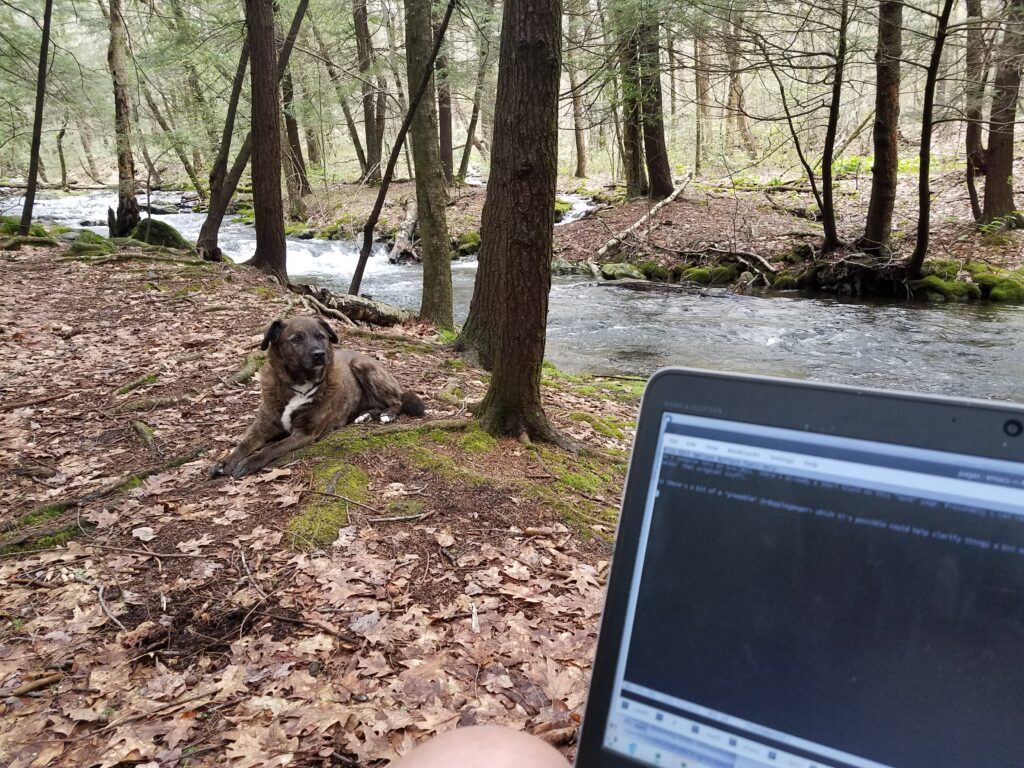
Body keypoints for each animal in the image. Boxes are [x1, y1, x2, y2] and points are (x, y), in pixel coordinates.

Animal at [211, 315, 423, 479]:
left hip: (363, 366)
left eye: (321, 336)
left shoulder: (305, 433)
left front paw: (250, 462)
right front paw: (224, 462)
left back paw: (388, 414)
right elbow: (243, 444)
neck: (299, 385)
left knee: (397, 402)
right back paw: (366, 415)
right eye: (296, 339)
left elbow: (272, 448)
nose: (320, 354)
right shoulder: (262, 427)